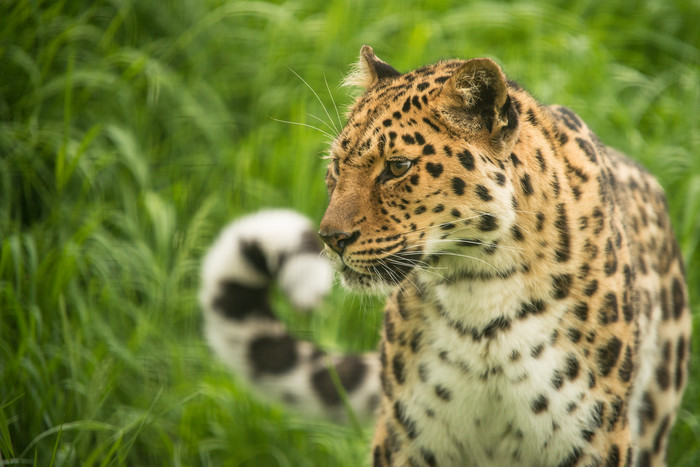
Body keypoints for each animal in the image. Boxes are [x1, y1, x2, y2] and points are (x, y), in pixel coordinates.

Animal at [200, 44, 692, 467]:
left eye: (397, 167)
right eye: (336, 167)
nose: (330, 238)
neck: (481, 296)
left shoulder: (596, 439)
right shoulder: (405, 440)